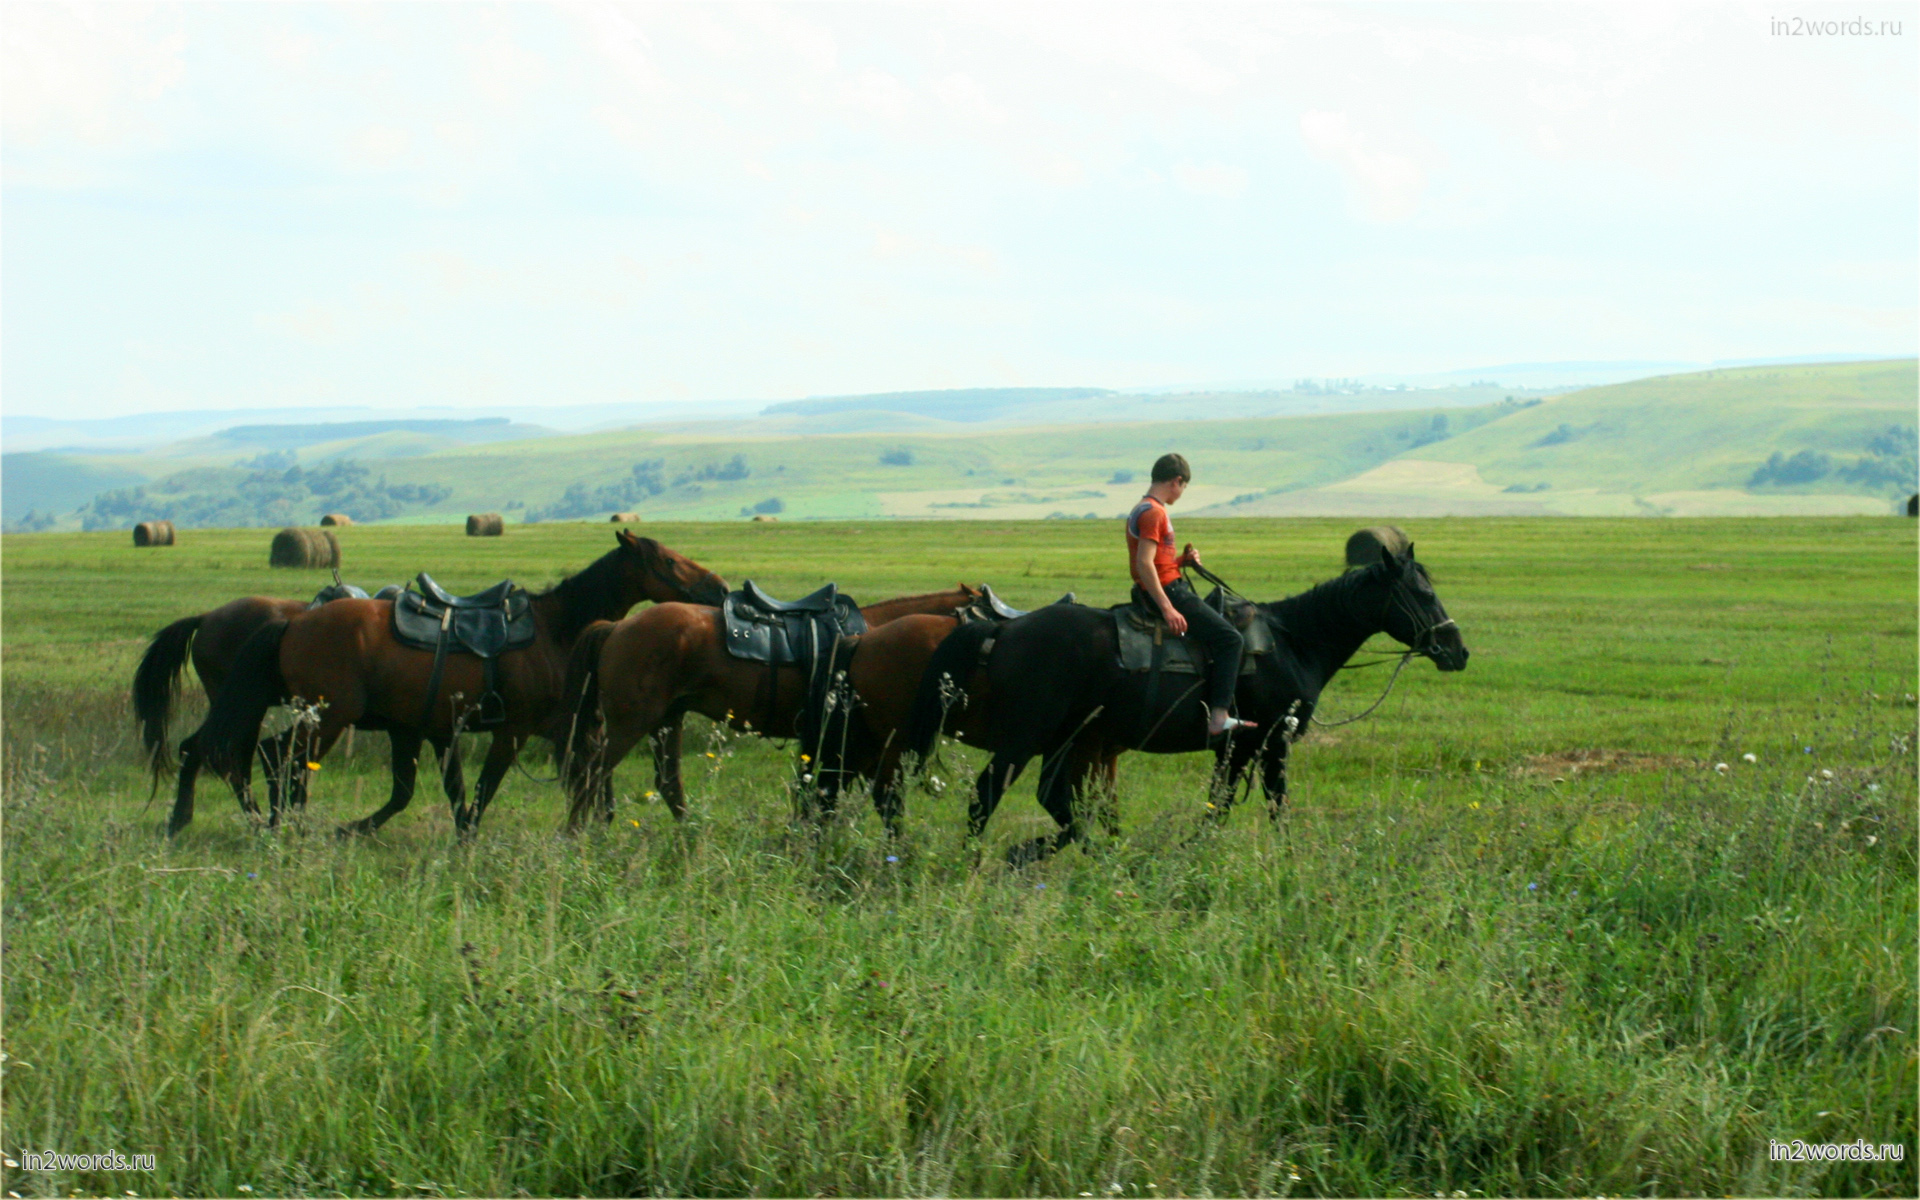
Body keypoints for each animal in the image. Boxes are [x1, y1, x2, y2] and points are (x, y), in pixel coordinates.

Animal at [181, 533, 725, 833]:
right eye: (669, 561)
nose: (718, 587)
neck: (556, 627)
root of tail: (292, 623)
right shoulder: (512, 730)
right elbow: (483, 789)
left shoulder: (513, 727)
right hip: (328, 716)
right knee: (267, 755)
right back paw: (269, 821)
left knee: (249, 754)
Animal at [552, 583, 975, 829]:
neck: (876, 638)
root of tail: (616, 628)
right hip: (631, 724)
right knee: (589, 776)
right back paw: (574, 840)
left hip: (666, 720)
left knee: (667, 783)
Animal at [898, 541, 1466, 860]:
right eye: (1422, 593)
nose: (1457, 649)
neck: (1294, 642)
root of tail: (1003, 629)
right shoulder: (1265, 744)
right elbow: (1260, 806)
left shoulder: (1240, 750)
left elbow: (1226, 805)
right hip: (1028, 737)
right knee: (986, 796)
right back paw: (977, 863)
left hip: (1065, 738)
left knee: (1054, 800)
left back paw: (1075, 853)